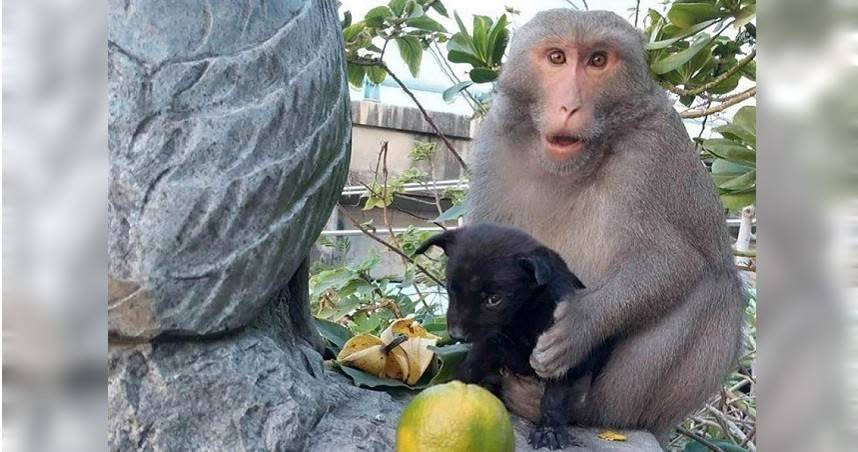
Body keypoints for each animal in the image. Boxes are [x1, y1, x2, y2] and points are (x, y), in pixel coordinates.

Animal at [464, 8, 744, 440]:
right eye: (557, 58)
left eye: (598, 60)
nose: (570, 107)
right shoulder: (495, 137)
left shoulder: (652, 149)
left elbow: (672, 261)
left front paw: (579, 325)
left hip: (621, 397)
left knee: (716, 290)